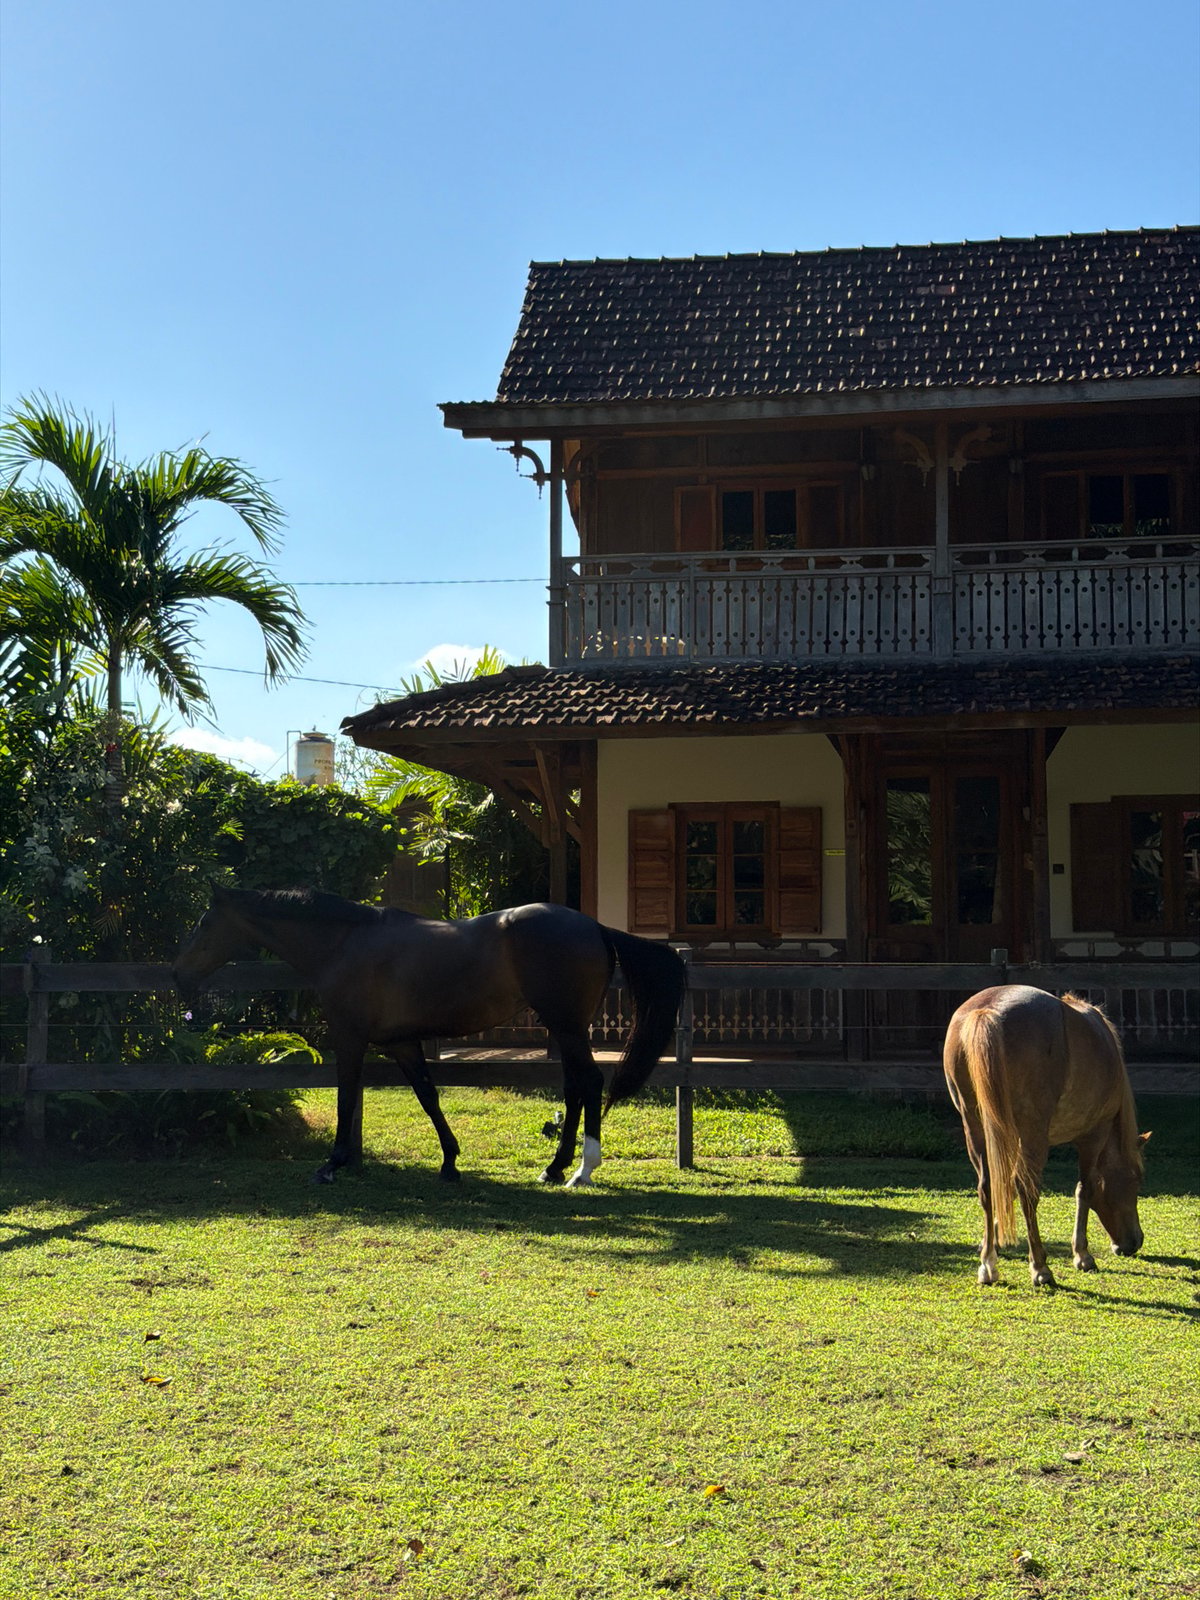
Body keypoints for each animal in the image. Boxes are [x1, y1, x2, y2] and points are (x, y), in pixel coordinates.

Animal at [173, 886, 686, 1187]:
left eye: (203, 923)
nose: (179, 974)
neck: (345, 943)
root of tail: (594, 926)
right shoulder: (402, 1043)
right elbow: (428, 1096)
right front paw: (450, 1162)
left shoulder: (349, 1038)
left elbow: (346, 1096)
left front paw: (334, 1162)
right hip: (564, 1030)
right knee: (575, 1087)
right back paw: (554, 1166)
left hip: (567, 1026)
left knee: (590, 1084)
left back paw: (581, 1170)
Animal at [943, 985, 1148, 1288]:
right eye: (1135, 1180)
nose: (1134, 1242)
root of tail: (987, 1010)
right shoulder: (1093, 1136)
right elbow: (1084, 1189)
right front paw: (1082, 1254)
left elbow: (1003, 1186)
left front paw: (992, 1241)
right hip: (1033, 1133)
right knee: (1027, 1189)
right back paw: (1040, 1267)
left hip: (975, 1125)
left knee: (987, 1186)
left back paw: (988, 1265)